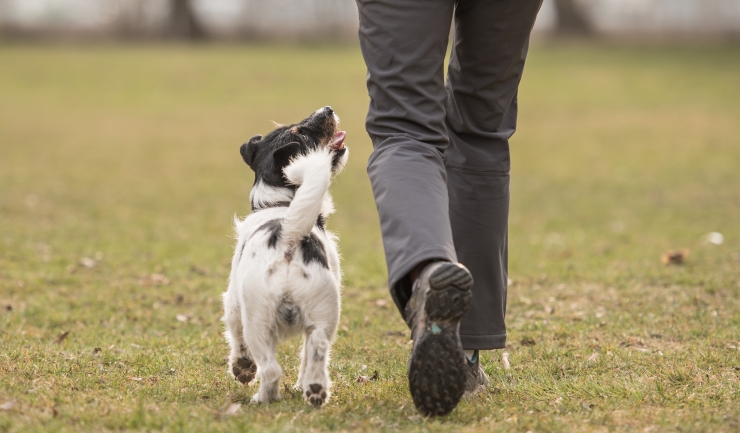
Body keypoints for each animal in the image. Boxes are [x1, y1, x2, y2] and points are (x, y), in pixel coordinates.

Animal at [221, 105, 348, 404]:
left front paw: (242, 367)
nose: (327, 109)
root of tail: (288, 237)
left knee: (271, 369)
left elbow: (236, 337)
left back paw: (262, 398)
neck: (280, 204)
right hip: (323, 315)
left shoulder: (233, 303)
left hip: (258, 322)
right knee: (315, 351)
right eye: (301, 133)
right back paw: (314, 390)